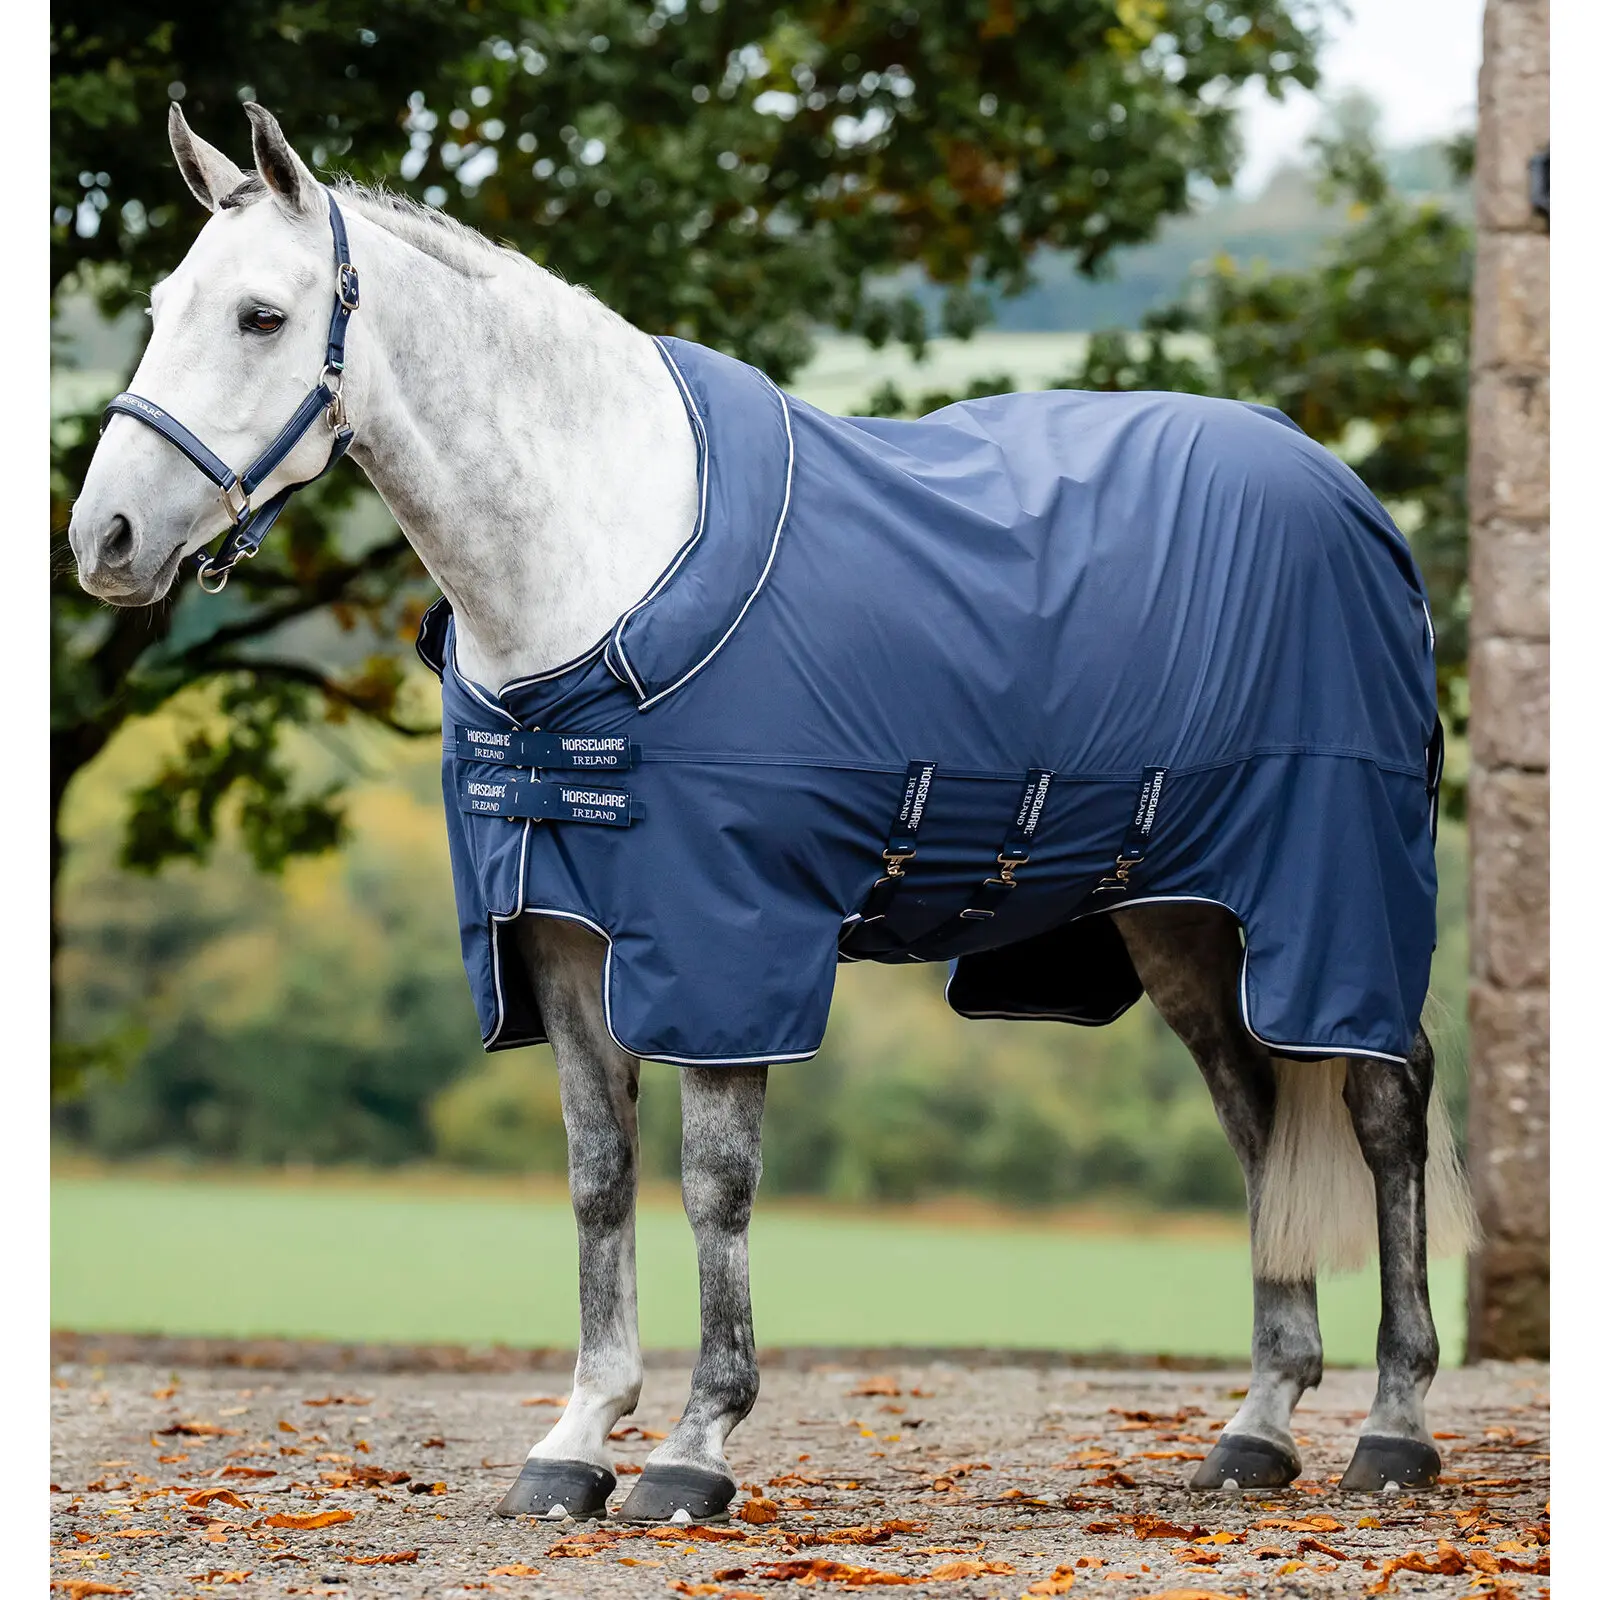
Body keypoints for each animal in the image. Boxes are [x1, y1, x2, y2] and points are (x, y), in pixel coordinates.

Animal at [69, 103, 1477, 1522]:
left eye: (260, 316)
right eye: (159, 306)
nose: (105, 539)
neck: (600, 570)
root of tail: (1350, 500)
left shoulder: (724, 947)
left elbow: (715, 1185)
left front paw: (694, 1447)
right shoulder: (562, 940)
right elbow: (597, 1180)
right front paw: (575, 1441)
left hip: (1335, 896)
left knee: (1385, 1103)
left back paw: (1394, 1426)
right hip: (1184, 919)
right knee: (1256, 1115)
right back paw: (1258, 1425)